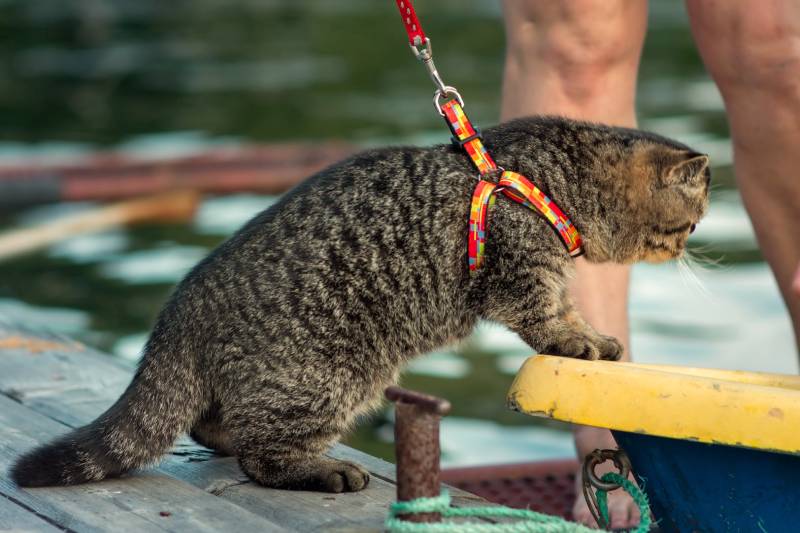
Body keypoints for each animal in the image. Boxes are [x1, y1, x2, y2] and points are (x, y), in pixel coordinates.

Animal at [12, 118, 708, 492]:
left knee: (213, 424)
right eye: (693, 221)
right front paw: (582, 339)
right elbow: (550, 320)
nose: (691, 246)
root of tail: (183, 304)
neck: (553, 180)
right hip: (331, 377)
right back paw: (319, 470)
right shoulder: (523, 276)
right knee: (262, 455)